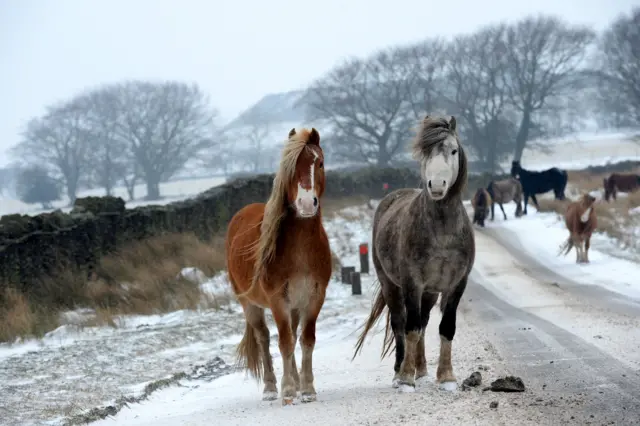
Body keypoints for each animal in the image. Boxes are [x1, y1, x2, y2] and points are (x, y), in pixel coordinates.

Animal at [225, 127, 332, 406]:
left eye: (319, 163)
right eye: (291, 167)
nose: (306, 204)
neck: (301, 250)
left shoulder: (315, 297)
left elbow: (306, 340)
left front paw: (307, 388)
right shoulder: (277, 300)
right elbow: (284, 343)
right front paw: (288, 390)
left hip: (294, 304)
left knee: (293, 335)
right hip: (250, 304)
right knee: (263, 337)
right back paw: (271, 388)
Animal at [352, 115, 472, 392]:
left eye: (453, 150)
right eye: (425, 152)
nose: (436, 185)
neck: (442, 231)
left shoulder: (456, 285)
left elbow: (446, 328)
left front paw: (446, 377)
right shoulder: (412, 283)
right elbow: (411, 328)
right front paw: (406, 377)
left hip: (429, 292)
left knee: (425, 323)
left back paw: (423, 369)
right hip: (391, 285)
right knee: (400, 323)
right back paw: (400, 372)